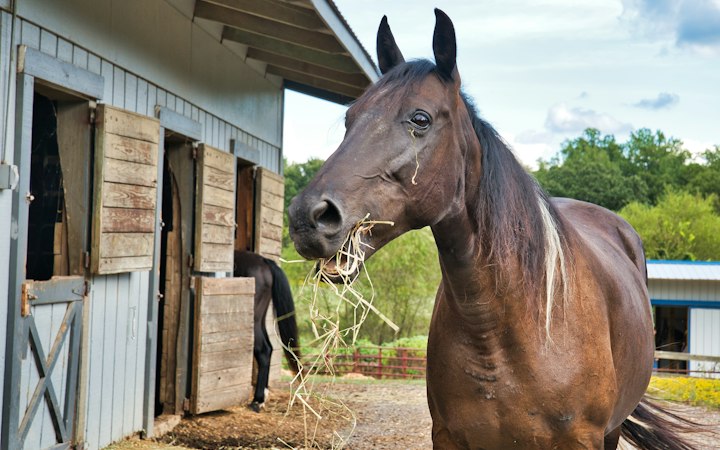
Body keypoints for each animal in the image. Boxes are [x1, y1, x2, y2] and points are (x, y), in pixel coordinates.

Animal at [233, 250, 301, 412]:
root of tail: (264, 261)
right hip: (260, 318)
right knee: (269, 349)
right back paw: (262, 396)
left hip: (253, 320)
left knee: (263, 350)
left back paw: (257, 400)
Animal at [287, 9, 703, 449]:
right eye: (350, 118)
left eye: (420, 119)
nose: (307, 216)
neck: (504, 333)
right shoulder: (448, 437)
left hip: (612, 431)